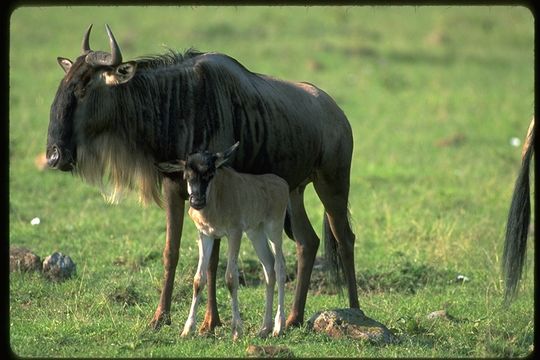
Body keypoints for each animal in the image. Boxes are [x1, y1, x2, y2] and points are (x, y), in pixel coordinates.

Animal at [157, 141, 288, 340]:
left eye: (210, 174)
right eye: (187, 175)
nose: (196, 201)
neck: (216, 197)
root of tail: (281, 183)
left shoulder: (235, 233)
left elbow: (231, 278)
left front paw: (237, 330)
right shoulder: (206, 235)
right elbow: (198, 279)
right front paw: (187, 329)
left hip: (274, 229)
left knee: (279, 267)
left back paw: (278, 326)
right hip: (256, 233)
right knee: (268, 268)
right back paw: (265, 328)